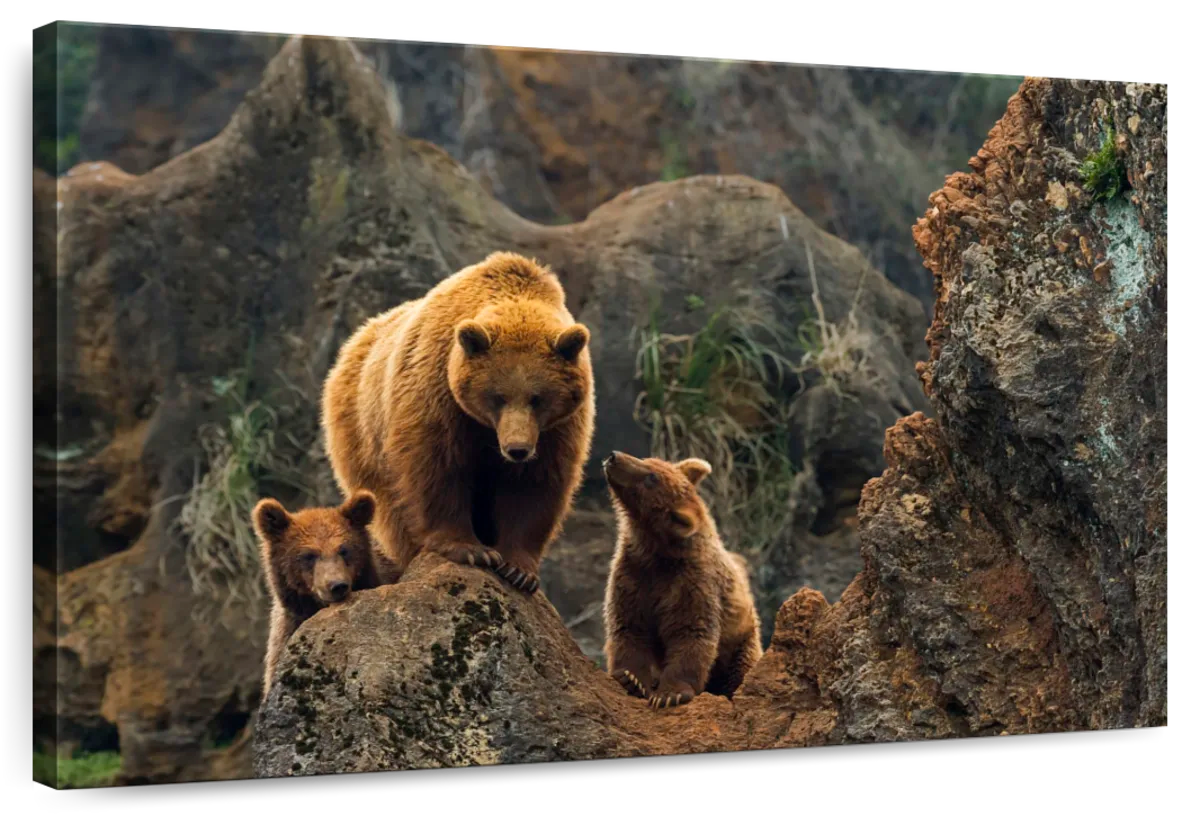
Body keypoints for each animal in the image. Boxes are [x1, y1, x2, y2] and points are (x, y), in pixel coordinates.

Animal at [321, 251, 596, 595]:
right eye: (497, 396)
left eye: (538, 398)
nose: (516, 449)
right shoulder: (437, 395)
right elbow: (437, 468)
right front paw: (471, 550)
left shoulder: (557, 429)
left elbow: (534, 484)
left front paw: (518, 569)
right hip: (363, 435)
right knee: (390, 508)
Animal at [601, 451, 763, 709]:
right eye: (649, 460)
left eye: (651, 477)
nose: (614, 457)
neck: (656, 552)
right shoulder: (632, 575)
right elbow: (628, 626)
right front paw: (631, 679)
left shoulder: (691, 583)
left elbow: (690, 633)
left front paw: (670, 694)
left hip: (742, 642)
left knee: (740, 670)